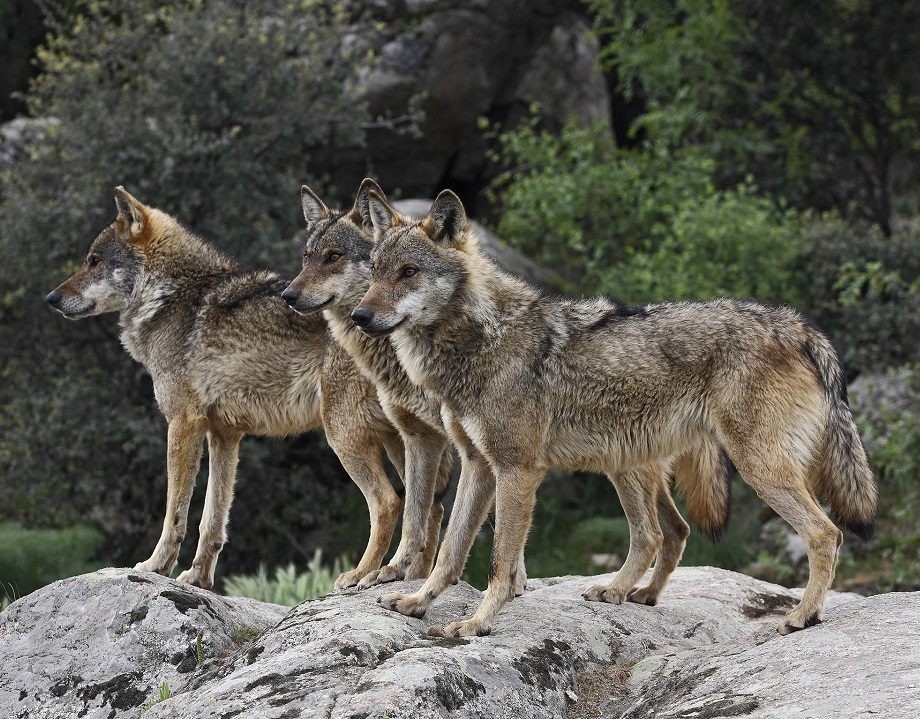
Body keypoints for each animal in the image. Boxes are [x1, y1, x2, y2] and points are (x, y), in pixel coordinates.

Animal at [45, 187, 406, 592]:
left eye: (94, 262)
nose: (51, 298)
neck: (171, 297)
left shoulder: (183, 424)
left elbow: (175, 513)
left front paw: (155, 567)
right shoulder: (224, 435)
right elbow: (212, 520)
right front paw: (198, 578)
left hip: (343, 436)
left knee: (388, 502)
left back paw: (362, 575)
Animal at [352, 188, 876, 640]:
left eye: (408, 272)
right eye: (375, 272)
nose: (359, 316)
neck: (482, 338)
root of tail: (797, 324)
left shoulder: (518, 470)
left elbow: (500, 561)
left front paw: (477, 624)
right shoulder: (479, 465)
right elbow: (450, 551)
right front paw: (416, 601)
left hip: (753, 468)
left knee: (825, 533)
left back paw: (802, 616)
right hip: (627, 463)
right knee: (655, 535)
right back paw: (626, 592)